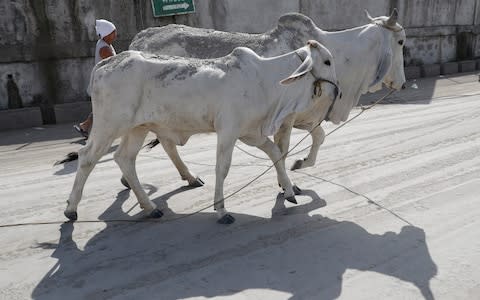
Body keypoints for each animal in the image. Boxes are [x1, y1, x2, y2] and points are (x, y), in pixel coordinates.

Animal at [65, 39, 340, 224]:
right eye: (327, 61)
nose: (337, 90)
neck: (265, 80)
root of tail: (105, 63)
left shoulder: (251, 132)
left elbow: (275, 153)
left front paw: (290, 191)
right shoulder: (228, 131)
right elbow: (222, 168)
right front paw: (222, 210)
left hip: (137, 128)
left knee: (124, 158)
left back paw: (150, 207)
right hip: (109, 125)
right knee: (87, 157)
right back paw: (71, 209)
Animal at [129, 9, 406, 182]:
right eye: (401, 41)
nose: (402, 83)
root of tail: (139, 38)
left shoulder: (306, 117)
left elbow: (319, 136)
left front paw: (302, 163)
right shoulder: (287, 118)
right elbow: (282, 149)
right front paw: (286, 186)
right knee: (164, 143)